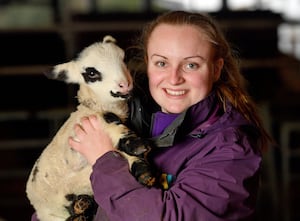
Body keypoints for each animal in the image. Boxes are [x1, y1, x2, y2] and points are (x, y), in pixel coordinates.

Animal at [26, 35, 157, 221]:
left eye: (124, 59)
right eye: (92, 73)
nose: (124, 84)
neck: (94, 106)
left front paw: (143, 171)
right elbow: (112, 126)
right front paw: (136, 145)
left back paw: (82, 207)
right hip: (52, 212)